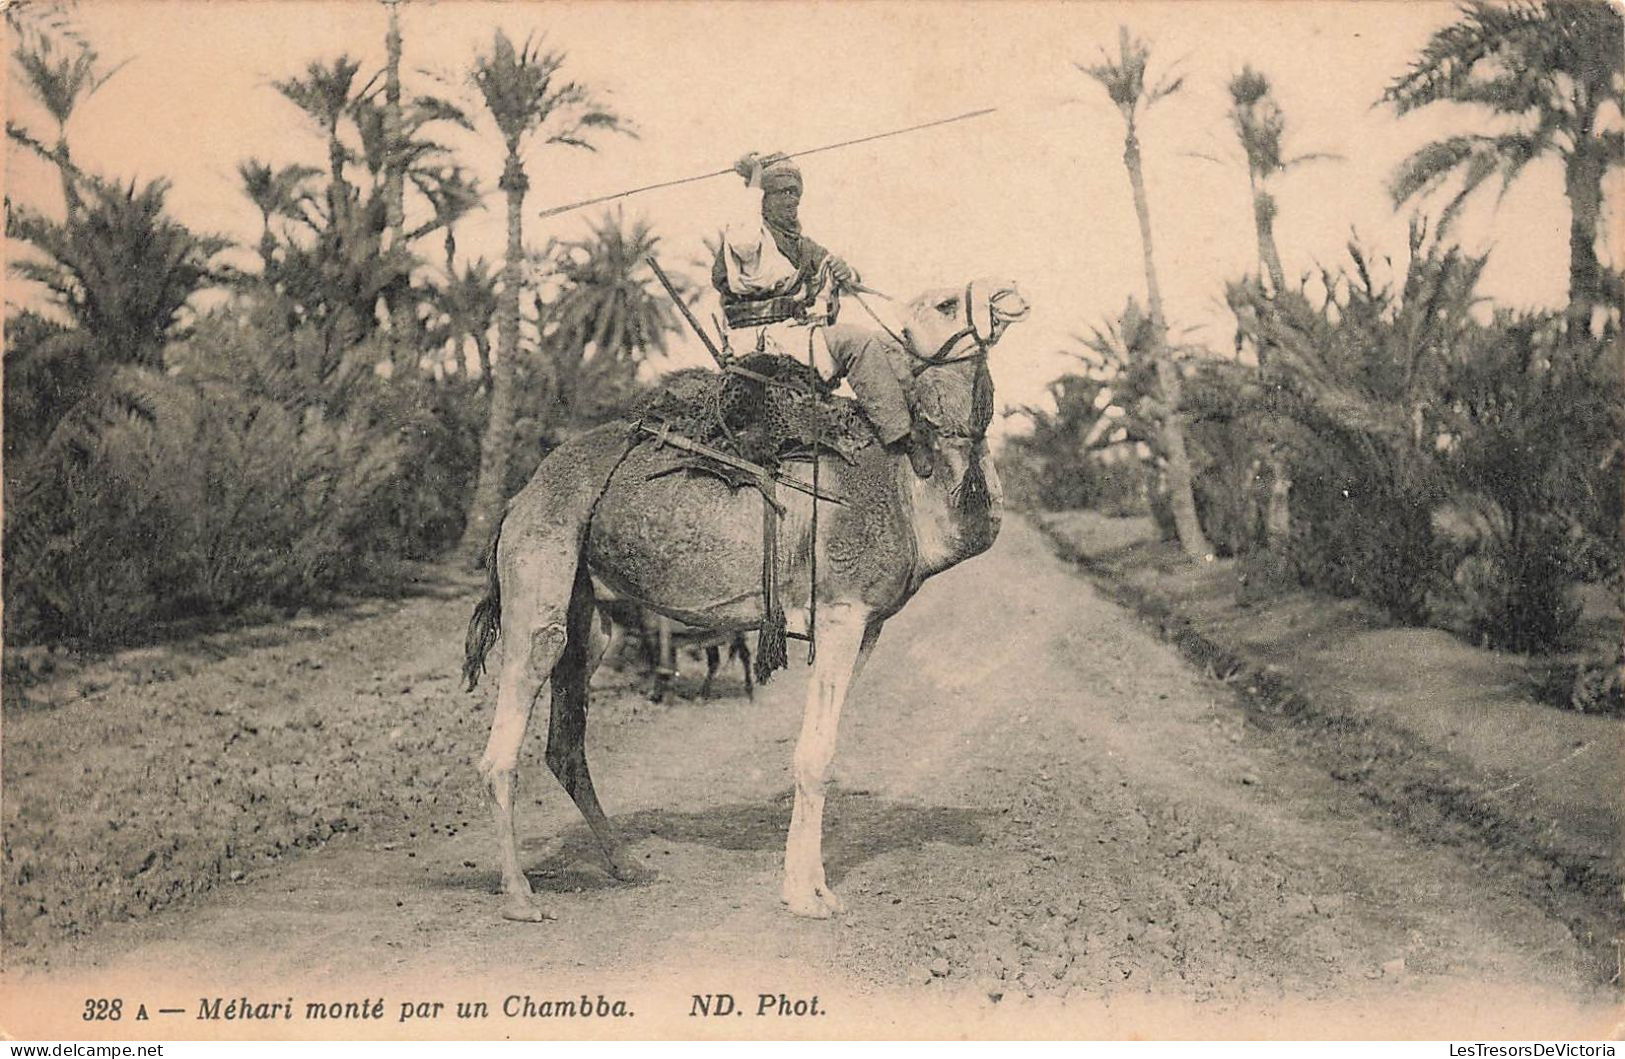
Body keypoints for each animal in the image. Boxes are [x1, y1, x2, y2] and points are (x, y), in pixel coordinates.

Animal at [464, 279, 1027, 916]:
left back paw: (628, 865)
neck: (909, 484)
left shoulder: (867, 626)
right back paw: (519, 894)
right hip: (541, 567)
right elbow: (814, 758)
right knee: (506, 738)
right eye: (944, 304)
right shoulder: (842, 612)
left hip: (592, 613)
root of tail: (519, 496)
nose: (1010, 295)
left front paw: (809, 884)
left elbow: (822, 745)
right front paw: (806, 895)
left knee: (566, 741)